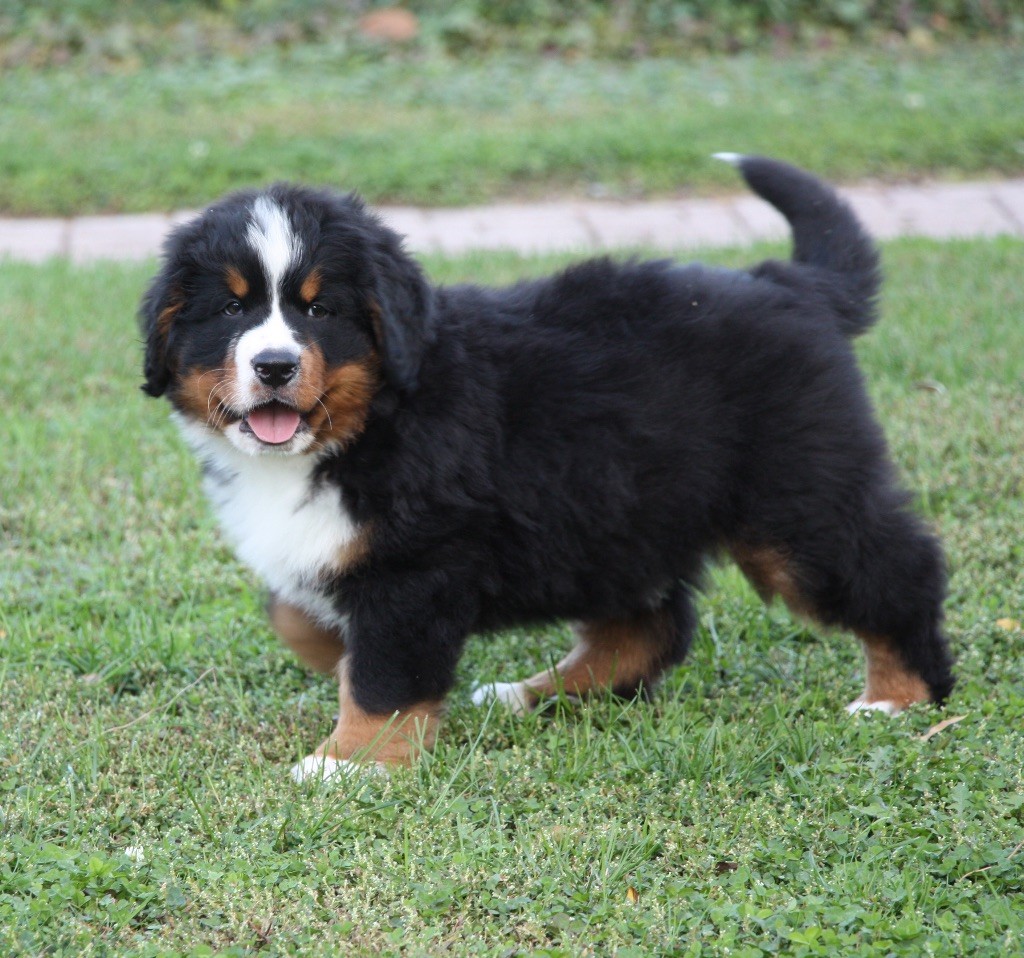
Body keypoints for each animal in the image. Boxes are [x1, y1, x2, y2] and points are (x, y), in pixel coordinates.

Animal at [140, 156, 954, 780]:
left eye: (319, 311)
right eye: (233, 311)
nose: (274, 366)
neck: (367, 425)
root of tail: (789, 283)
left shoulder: (416, 565)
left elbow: (383, 674)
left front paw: (352, 761)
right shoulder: (341, 549)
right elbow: (295, 614)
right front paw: (332, 660)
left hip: (795, 499)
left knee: (895, 569)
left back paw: (899, 697)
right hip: (618, 516)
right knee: (652, 626)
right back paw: (528, 693)